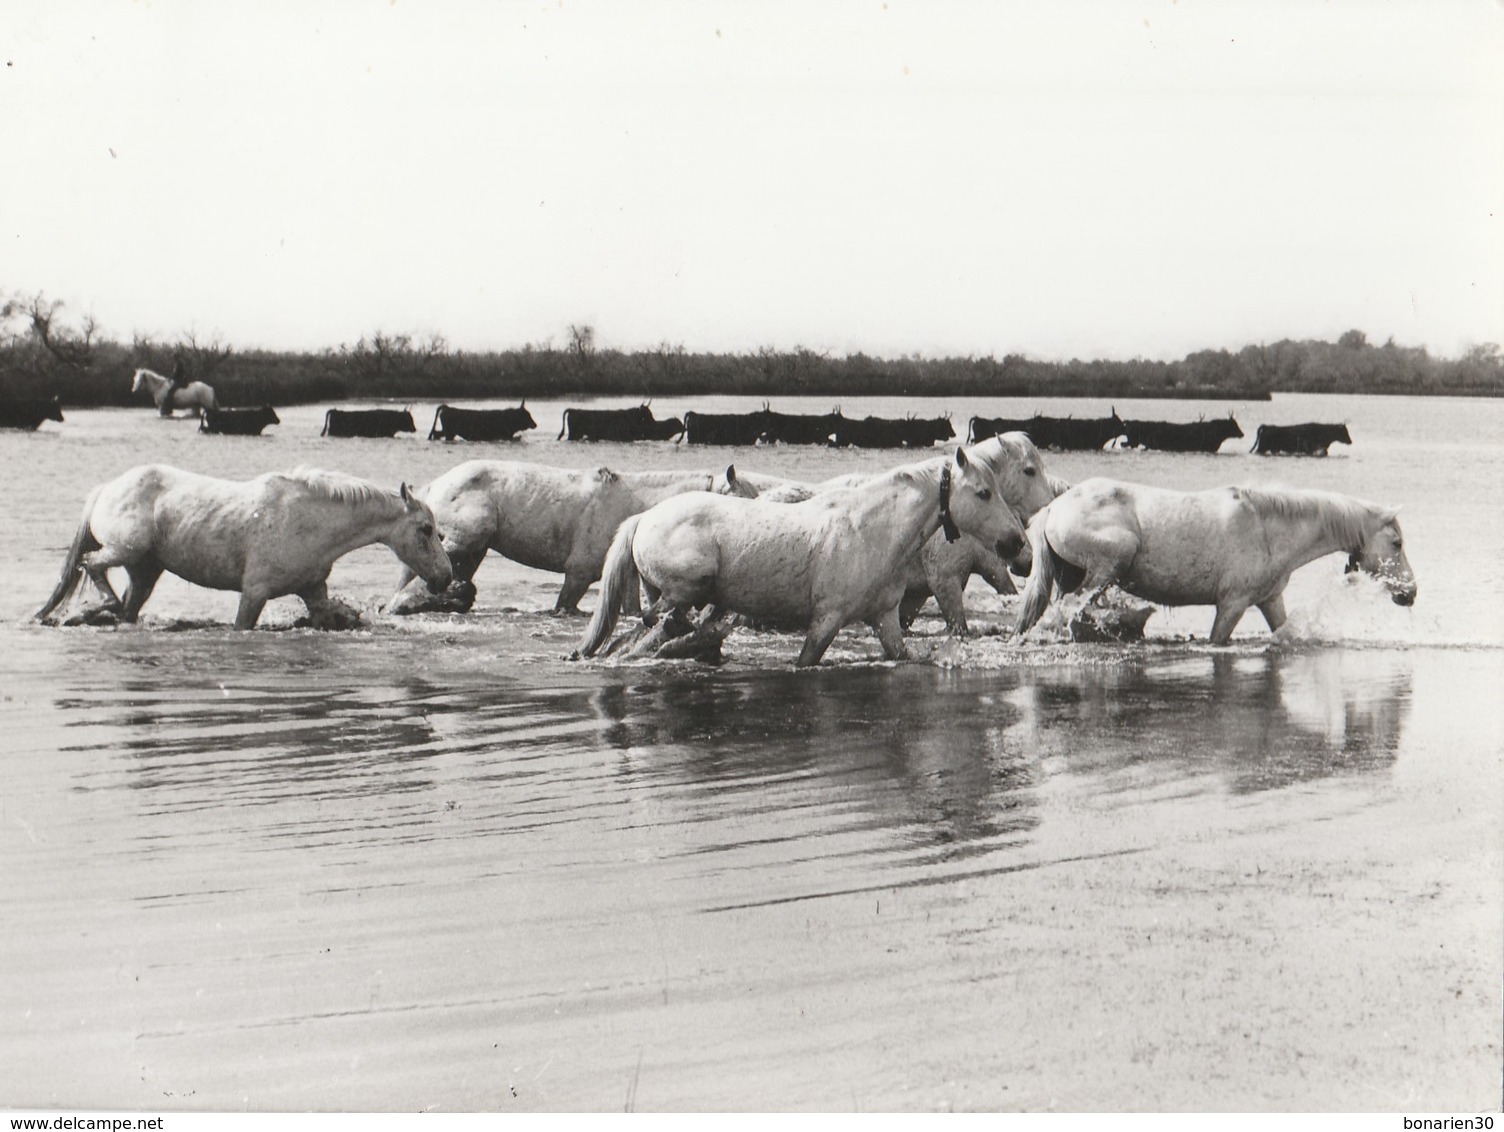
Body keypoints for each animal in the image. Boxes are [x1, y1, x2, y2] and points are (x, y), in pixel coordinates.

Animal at [36, 463, 451, 631]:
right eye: (426, 529)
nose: (445, 577)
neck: (312, 522)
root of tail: (106, 488)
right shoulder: (254, 593)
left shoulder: (313, 592)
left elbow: (335, 615)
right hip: (125, 550)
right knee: (91, 564)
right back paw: (96, 607)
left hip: (145, 571)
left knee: (126, 607)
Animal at [388, 460, 758, 613]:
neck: (634, 504)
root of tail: (435, 484)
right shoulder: (579, 573)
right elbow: (564, 605)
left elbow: (631, 607)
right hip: (466, 540)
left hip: (473, 549)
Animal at [580, 447, 1028, 667]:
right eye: (983, 493)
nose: (1017, 544)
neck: (872, 532)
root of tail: (643, 518)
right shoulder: (827, 619)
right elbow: (805, 662)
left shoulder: (885, 619)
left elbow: (902, 656)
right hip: (690, 583)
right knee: (654, 619)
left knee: (644, 626)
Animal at [1016, 475, 1413, 643]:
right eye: (1396, 543)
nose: (1410, 594)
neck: (1268, 527)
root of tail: (1053, 508)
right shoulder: (1232, 604)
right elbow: (1216, 642)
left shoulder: (1270, 600)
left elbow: (1283, 631)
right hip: (1106, 569)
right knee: (1064, 614)